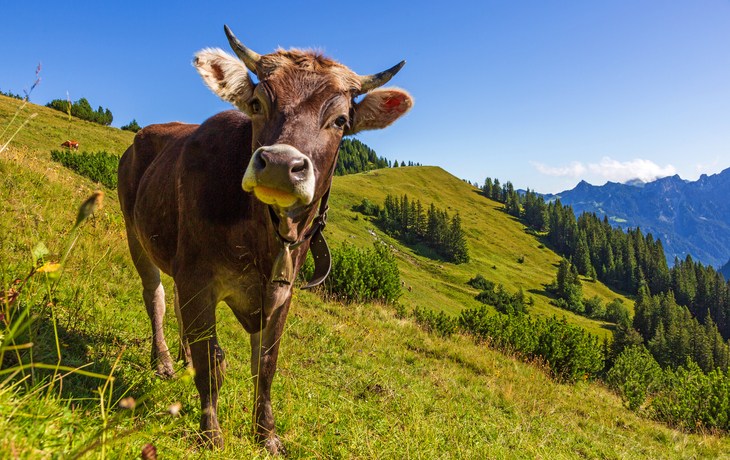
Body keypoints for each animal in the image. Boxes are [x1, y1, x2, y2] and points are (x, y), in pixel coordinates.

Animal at [117, 25, 412, 455]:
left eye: (340, 120)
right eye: (257, 104)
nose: (279, 165)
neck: (265, 236)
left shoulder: (280, 292)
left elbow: (266, 367)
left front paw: (267, 435)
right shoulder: (198, 277)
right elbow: (210, 362)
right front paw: (211, 433)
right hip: (135, 233)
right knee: (155, 297)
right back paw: (165, 362)